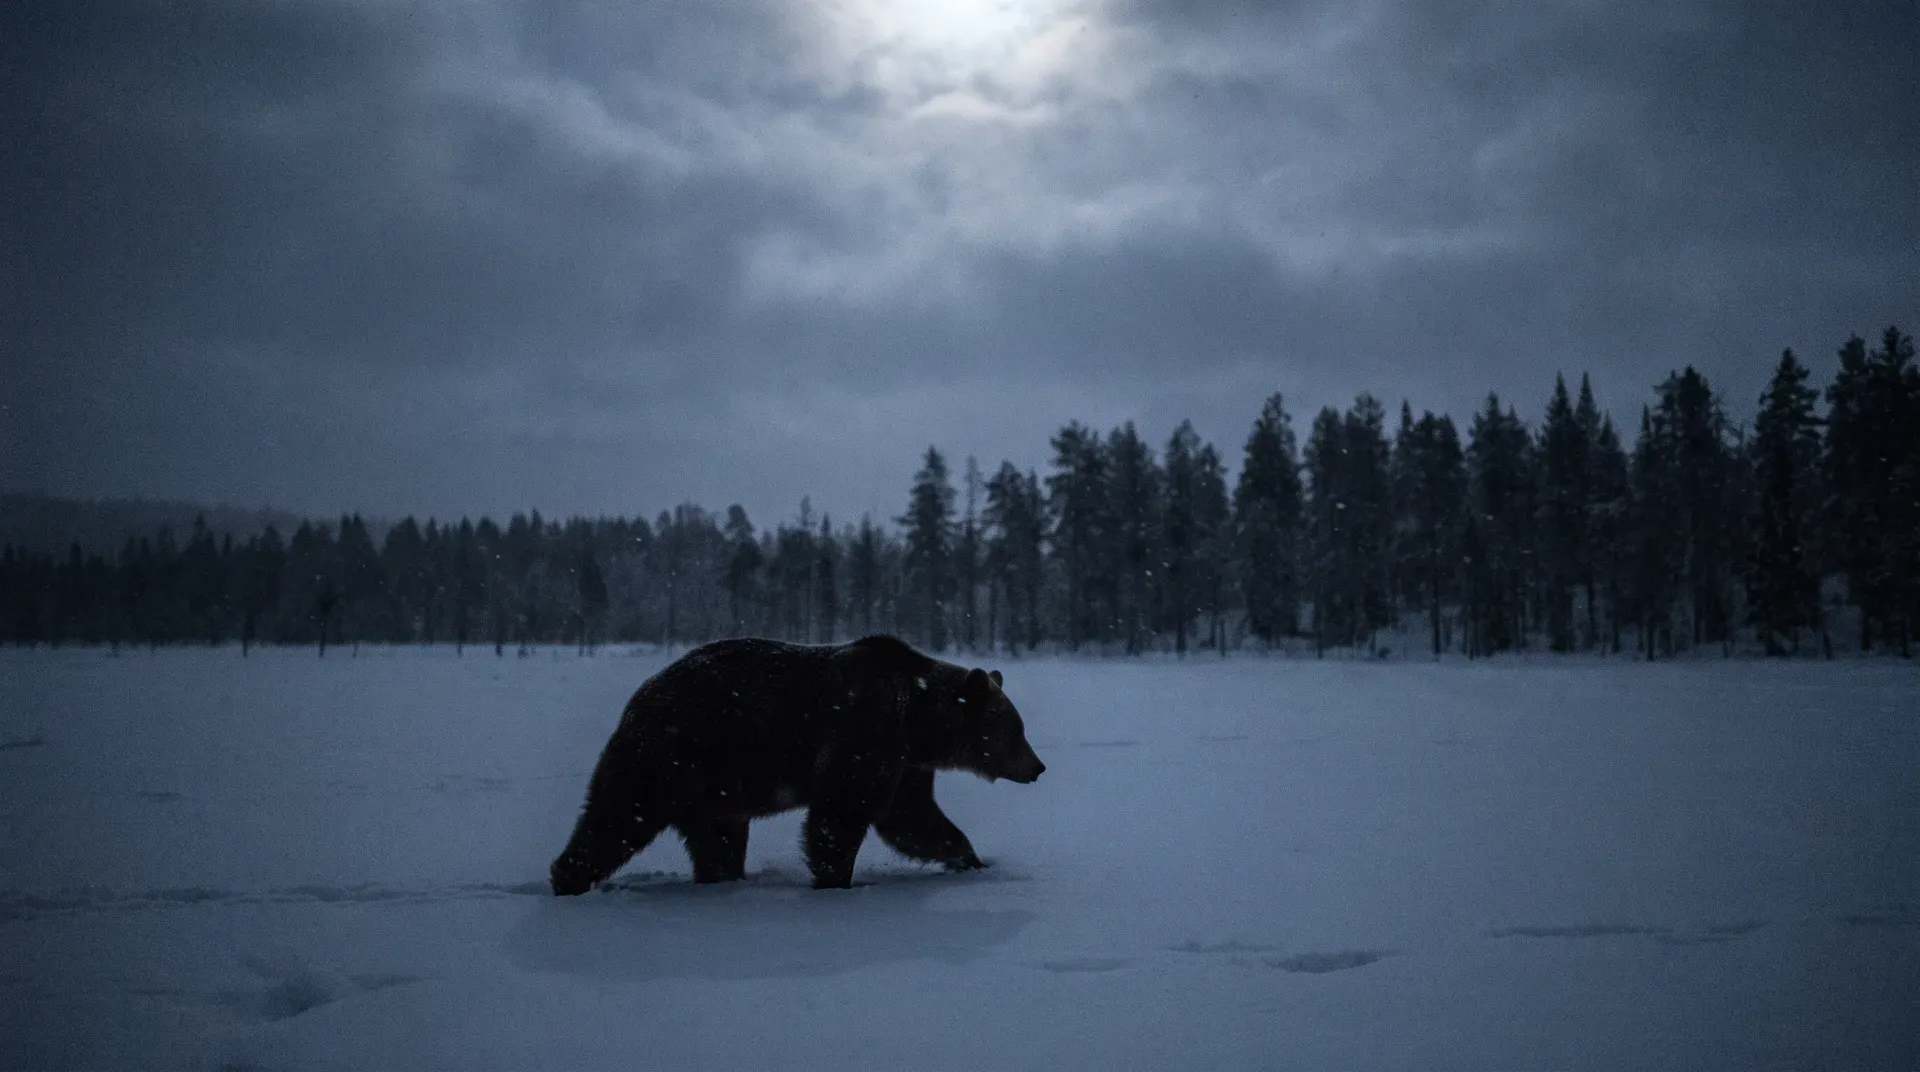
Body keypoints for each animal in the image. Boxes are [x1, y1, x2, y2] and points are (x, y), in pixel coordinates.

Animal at [549, 634, 1046, 894]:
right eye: (1016, 729)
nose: (1038, 767)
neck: (919, 721)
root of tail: (638, 699)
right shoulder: (866, 731)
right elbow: (841, 811)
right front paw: (835, 879)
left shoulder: (906, 764)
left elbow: (913, 820)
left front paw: (973, 859)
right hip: (671, 757)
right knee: (618, 816)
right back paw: (567, 877)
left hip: (715, 787)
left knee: (717, 839)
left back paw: (723, 880)